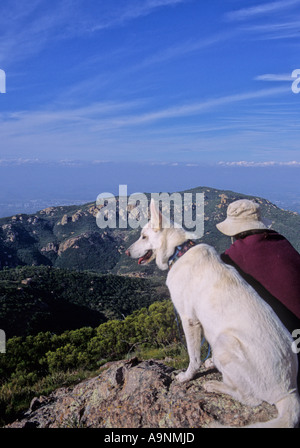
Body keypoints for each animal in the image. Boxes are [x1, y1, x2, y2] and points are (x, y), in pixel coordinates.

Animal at [126, 200, 300, 428]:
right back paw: (213, 364)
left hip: (225, 341)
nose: (126, 252)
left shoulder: (189, 320)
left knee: (249, 398)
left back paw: (214, 386)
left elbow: (193, 357)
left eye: (144, 236)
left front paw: (186, 377)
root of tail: (289, 391)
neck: (179, 251)